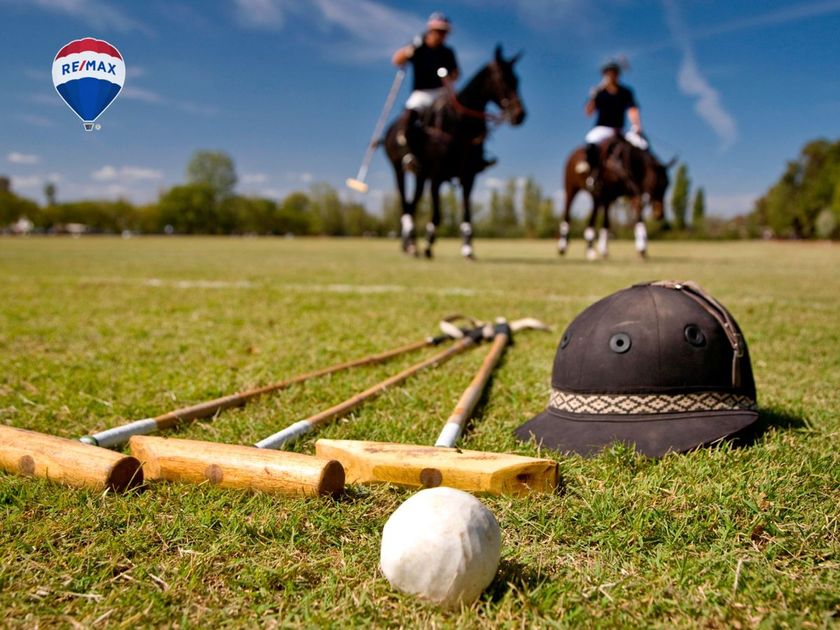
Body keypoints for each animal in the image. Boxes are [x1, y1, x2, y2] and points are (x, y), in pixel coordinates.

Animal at [383, 45, 526, 259]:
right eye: (502, 79)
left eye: (517, 80)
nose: (520, 114)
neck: (460, 126)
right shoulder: (436, 177)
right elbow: (437, 214)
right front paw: (428, 245)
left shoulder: (468, 176)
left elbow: (466, 213)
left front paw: (467, 248)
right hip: (398, 169)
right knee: (405, 204)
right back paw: (411, 244)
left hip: (421, 176)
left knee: (412, 204)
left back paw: (409, 244)